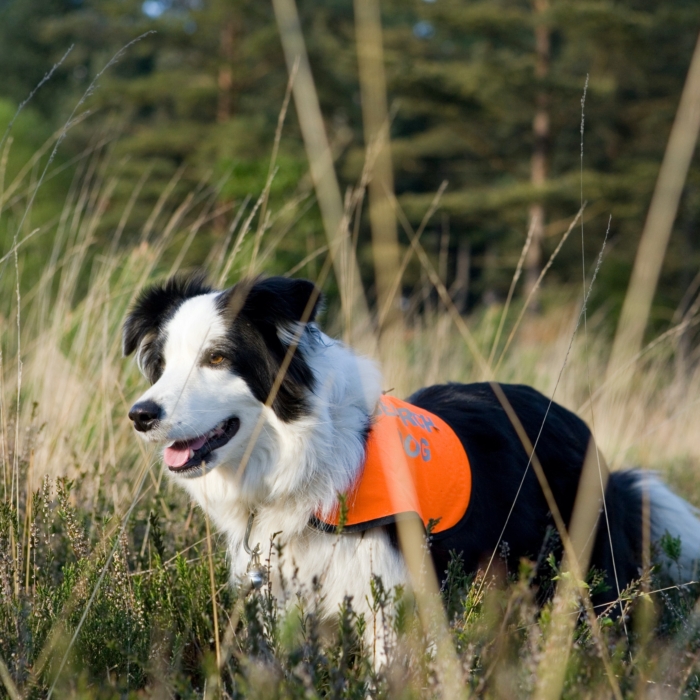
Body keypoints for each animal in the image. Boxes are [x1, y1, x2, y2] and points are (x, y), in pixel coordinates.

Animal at [123, 274, 700, 640]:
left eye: (217, 358)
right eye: (162, 365)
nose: (140, 415)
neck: (309, 460)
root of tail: (577, 426)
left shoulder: (388, 605)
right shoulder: (282, 602)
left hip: (587, 576)